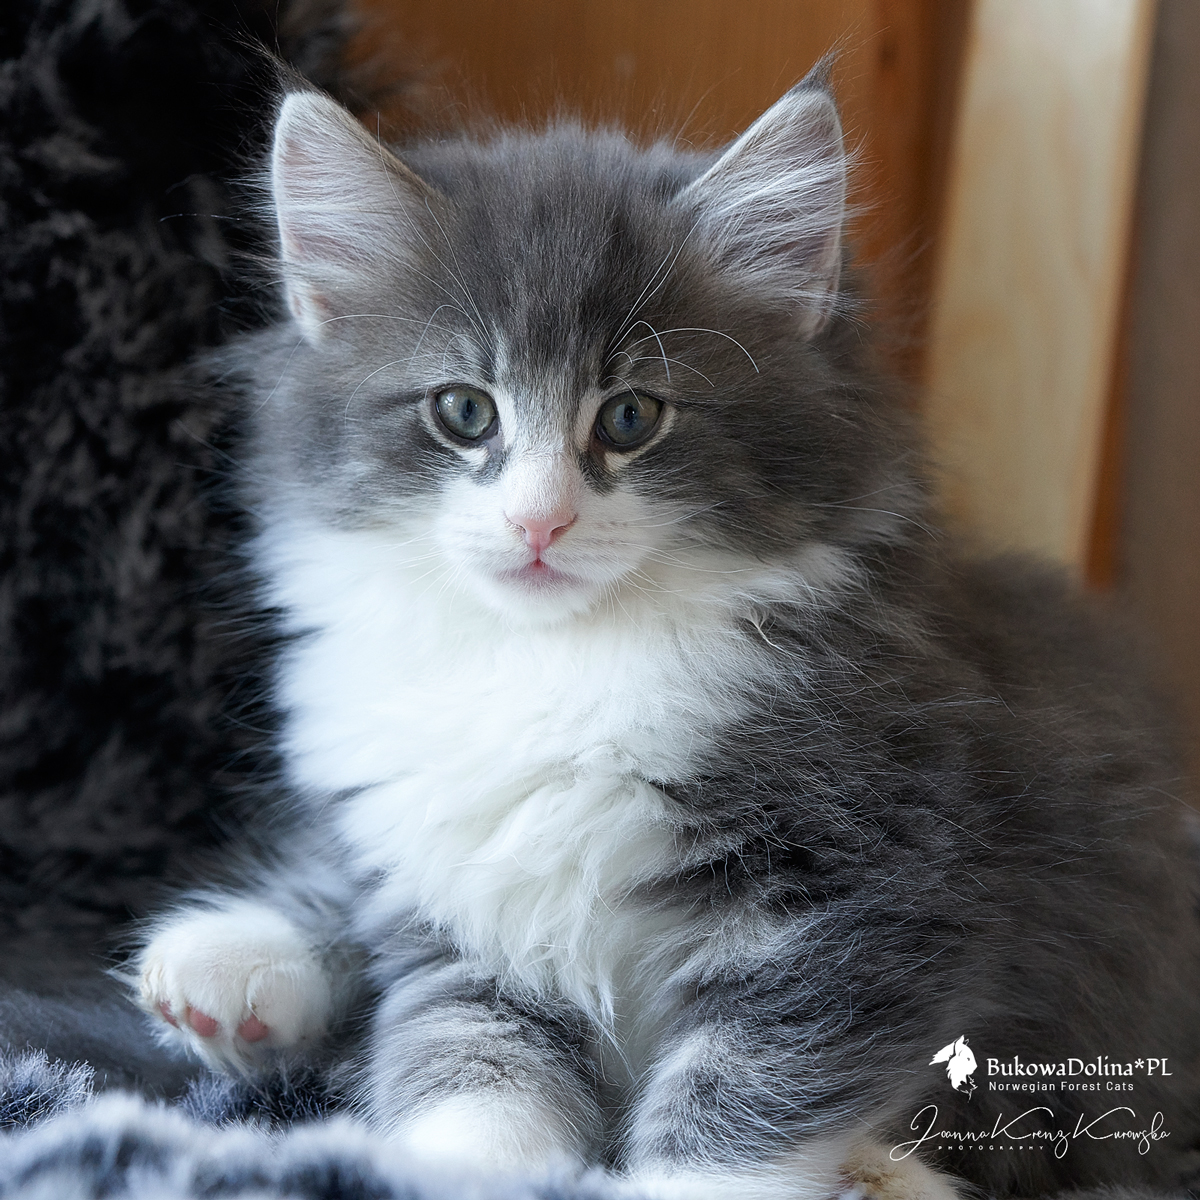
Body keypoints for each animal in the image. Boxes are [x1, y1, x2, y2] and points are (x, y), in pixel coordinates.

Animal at [131, 70, 1200, 1200]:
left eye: (632, 417)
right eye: (464, 411)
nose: (539, 523)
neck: (564, 663)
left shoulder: (870, 889)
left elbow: (742, 1098)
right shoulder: (461, 915)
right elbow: (466, 1061)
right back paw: (232, 962)